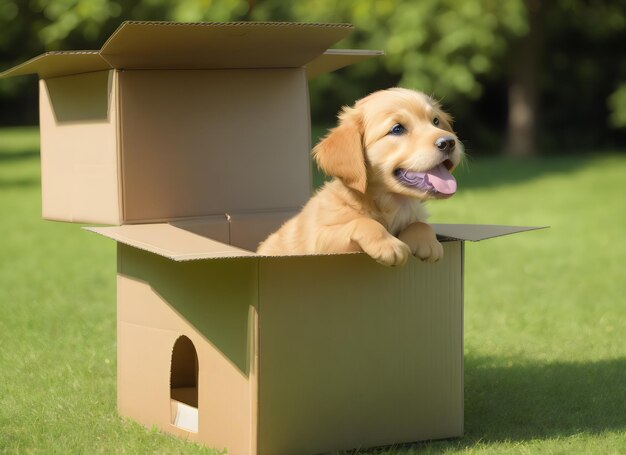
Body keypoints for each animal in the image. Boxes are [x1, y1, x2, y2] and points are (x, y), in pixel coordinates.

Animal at [256, 87, 460, 266]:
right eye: (397, 129)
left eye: (435, 121)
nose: (449, 142)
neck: (390, 204)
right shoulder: (322, 242)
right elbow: (361, 222)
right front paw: (388, 244)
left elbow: (421, 224)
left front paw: (428, 242)